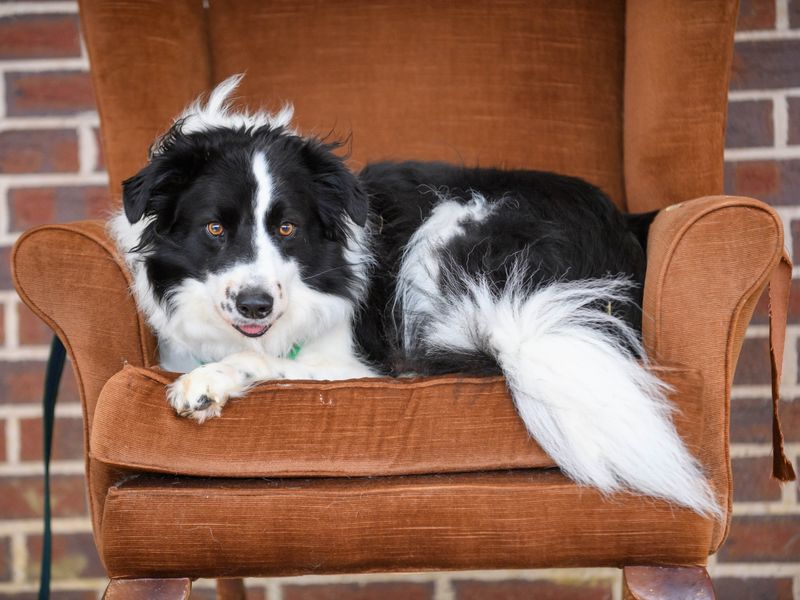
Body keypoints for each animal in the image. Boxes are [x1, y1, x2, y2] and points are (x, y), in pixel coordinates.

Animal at [111, 75, 720, 516]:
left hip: (450, 224)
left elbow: (273, 363)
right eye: (214, 229)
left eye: (287, 229)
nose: (256, 305)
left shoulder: (354, 365)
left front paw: (208, 383)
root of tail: (623, 231)